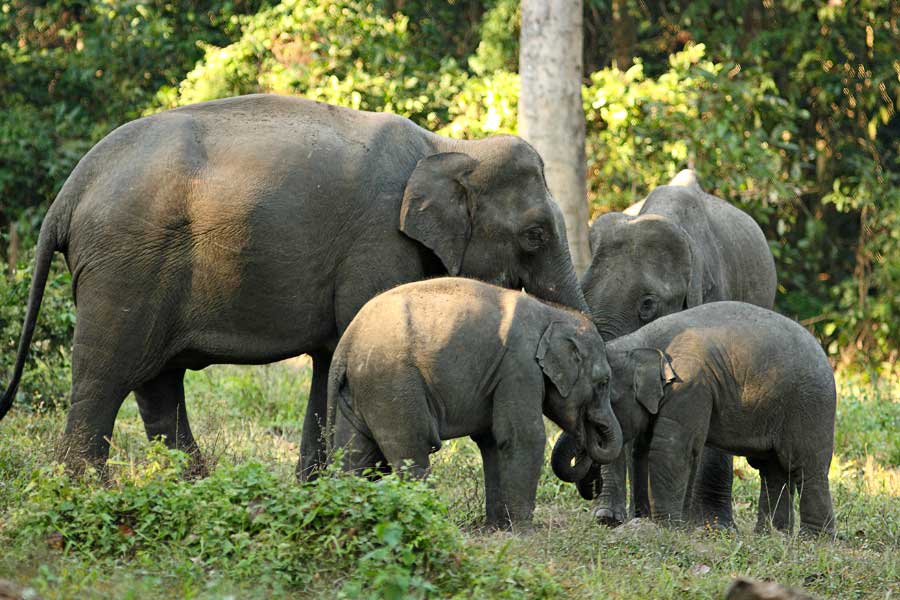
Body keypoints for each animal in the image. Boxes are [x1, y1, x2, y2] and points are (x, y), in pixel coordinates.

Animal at [0, 94, 590, 476]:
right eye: (535, 234)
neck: (450, 146)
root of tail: (69, 191)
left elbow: (333, 358)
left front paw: (320, 488)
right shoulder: (378, 243)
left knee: (157, 382)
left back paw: (191, 484)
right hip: (125, 264)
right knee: (106, 374)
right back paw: (84, 489)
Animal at [326, 277, 622, 528]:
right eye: (603, 382)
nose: (587, 442)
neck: (552, 313)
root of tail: (346, 343)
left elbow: (492, 441)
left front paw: (498, 528)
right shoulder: (519, 367)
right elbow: (523, 436)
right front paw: (524, 529)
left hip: (360, 390)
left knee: (353, 454)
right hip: (391, 383)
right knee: (413, 452)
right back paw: (432, 521)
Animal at [554, 301, 836, 534]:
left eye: (605, 397)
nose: (593, 481)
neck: (641, 340)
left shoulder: (689, 386)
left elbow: (671, 448)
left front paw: (666, 527)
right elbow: (643, 451)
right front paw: (649, 521)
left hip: (810, 405)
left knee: (806, 467)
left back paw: (814, 539)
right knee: (772, 470)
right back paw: (772, 535)